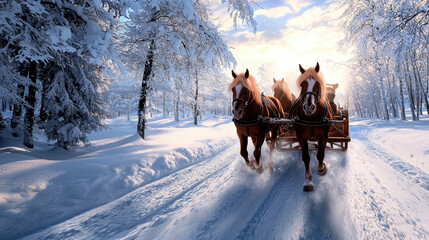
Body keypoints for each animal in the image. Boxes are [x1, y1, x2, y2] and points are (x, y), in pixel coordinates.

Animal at [288, 62, 334, 192]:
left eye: (317, 84)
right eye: (302, 84)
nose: (308, 107)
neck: (311, 117)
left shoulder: (324, 136)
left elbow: (320, 154)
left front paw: (321, 168)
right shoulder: (300, 137)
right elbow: (306, 157)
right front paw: (308, 181)